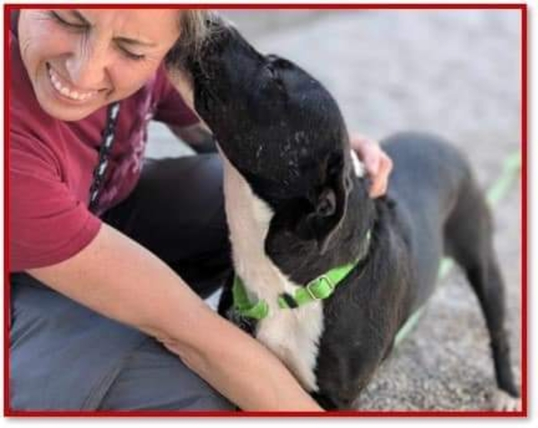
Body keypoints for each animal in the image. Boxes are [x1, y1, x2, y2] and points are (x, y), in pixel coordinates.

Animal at [165, 17, 516, 412]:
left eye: (274, 73)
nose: (214, 20)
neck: (292, 289)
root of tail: (442, 141)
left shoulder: (335, 400)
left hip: (482, 260)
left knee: (498, 326)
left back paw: (507, 389)